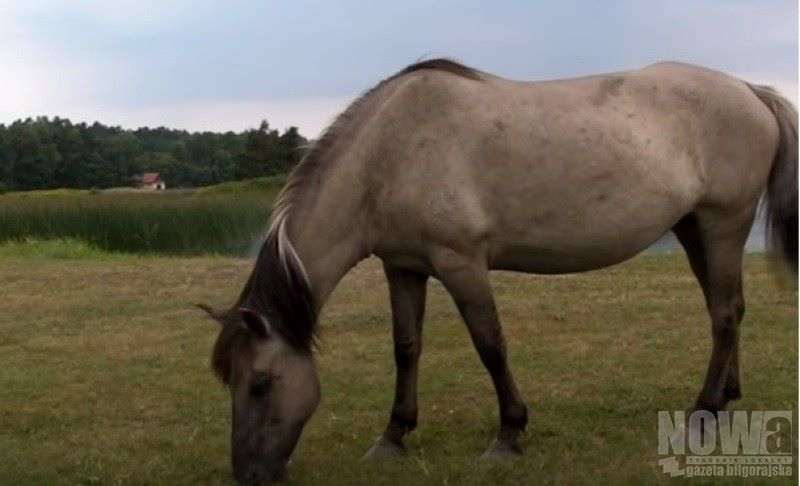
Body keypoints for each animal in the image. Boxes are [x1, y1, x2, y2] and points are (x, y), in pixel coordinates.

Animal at [198, 59, 792, 482]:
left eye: (260, 383)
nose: (249, 475)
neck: (389, 154)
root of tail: (748, 88)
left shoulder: (461, 263)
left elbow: (491, 346)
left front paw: (509, 434)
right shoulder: (403, 268)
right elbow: (406, 347)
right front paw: (393, 435)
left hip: (723, 222)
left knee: (723, 313)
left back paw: (702, 412)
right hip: (694, 229)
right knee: (726, 309)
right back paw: (726, 399)